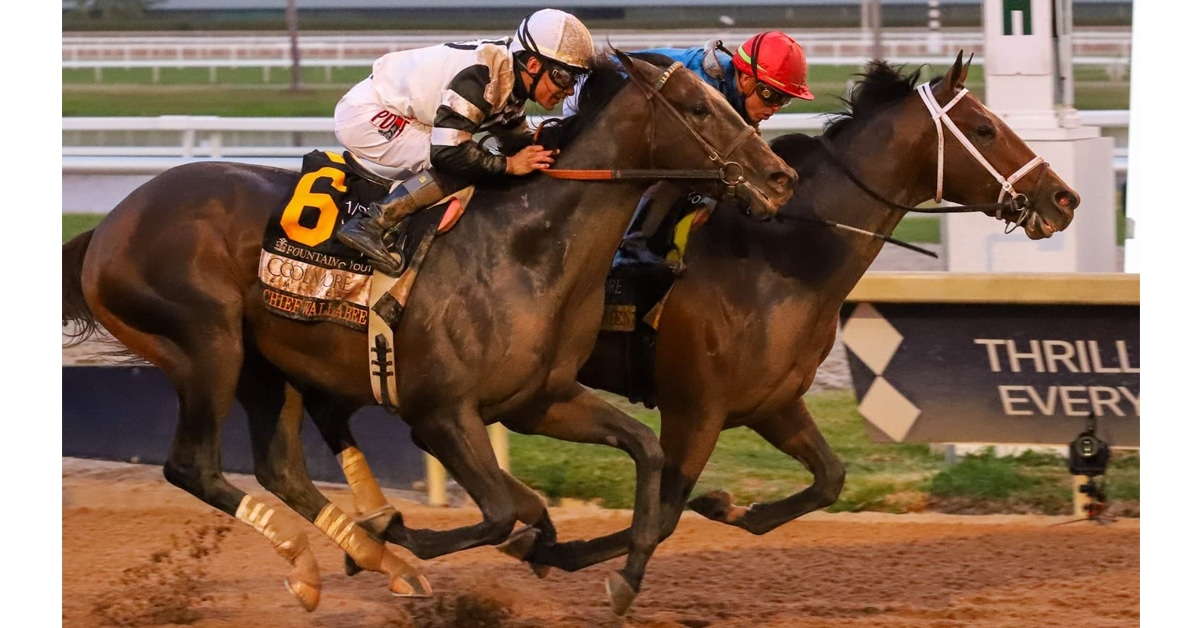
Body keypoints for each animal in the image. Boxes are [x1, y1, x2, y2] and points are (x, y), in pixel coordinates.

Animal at [61, 50, 797, 615]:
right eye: (699, 108)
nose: (779, 177)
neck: (526, 244)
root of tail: (109, 225)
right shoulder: (438, 414)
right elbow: (498, 509)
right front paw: (410, 531)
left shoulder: (539, 401)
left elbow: (642, 452)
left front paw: (617, 575)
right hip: (207, 345)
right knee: (193, 465)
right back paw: (338, 557)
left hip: (270, 365)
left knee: (280, 467)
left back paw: (359, 562)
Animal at [499, 52, 1081, 573]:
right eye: (985, 129)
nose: (1064, 198)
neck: (777, 257)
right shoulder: (694, 410)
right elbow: (661, 516)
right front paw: (544, 547)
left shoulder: (772, 403)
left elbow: (830, 478)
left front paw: (725, 505)